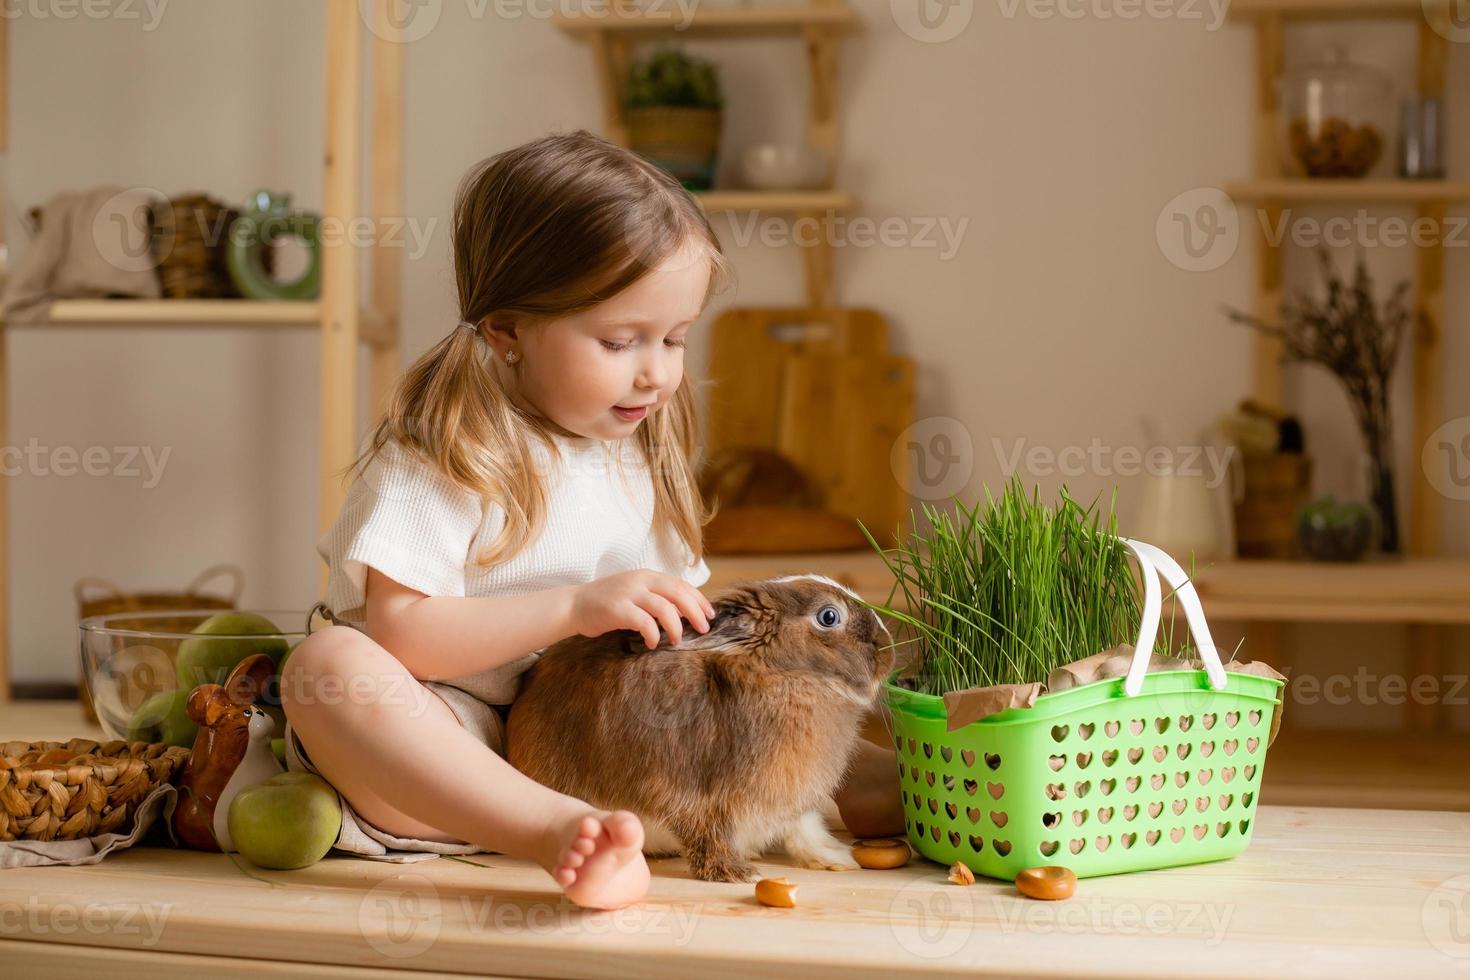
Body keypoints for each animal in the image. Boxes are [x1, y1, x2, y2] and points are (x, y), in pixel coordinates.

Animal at [505, 570, 893, 887]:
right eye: (829, 616)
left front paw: (837, 858)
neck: (783, 678)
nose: (887, 647)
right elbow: (705, 831)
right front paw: (737, 874)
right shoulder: (689, 792)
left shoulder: (791, 800)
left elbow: (805, 829)